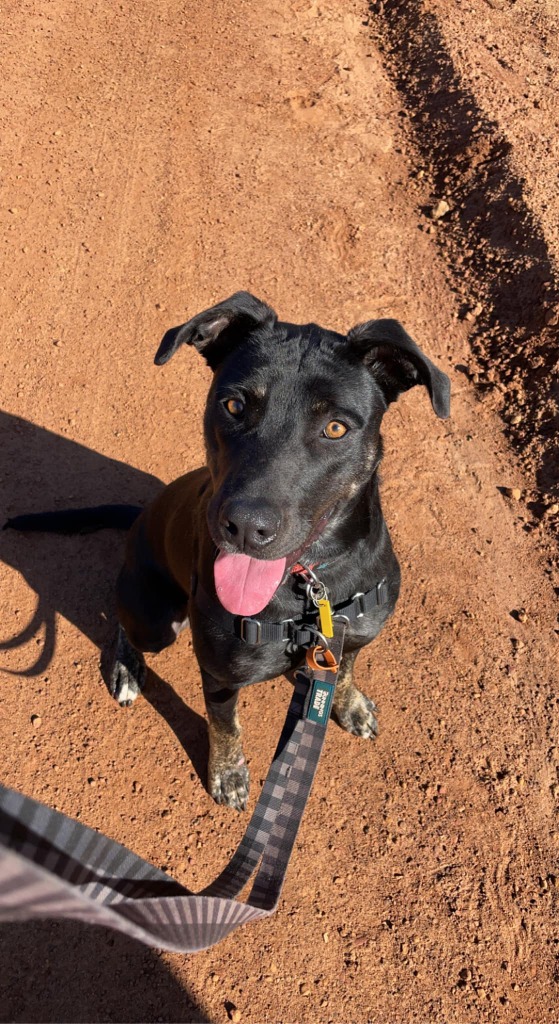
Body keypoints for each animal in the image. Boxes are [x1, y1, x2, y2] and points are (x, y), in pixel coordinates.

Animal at [6, 292, 450, 811]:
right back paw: (126, 666)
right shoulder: (220, 676)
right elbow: (225, 726)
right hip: (156, 619)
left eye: (336, 428)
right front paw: (228, 773)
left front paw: (350, 703)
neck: (308, 589)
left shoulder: (349, 638)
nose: (244, 528)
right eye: (234, 405)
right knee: (123, 621)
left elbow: (344, 671)